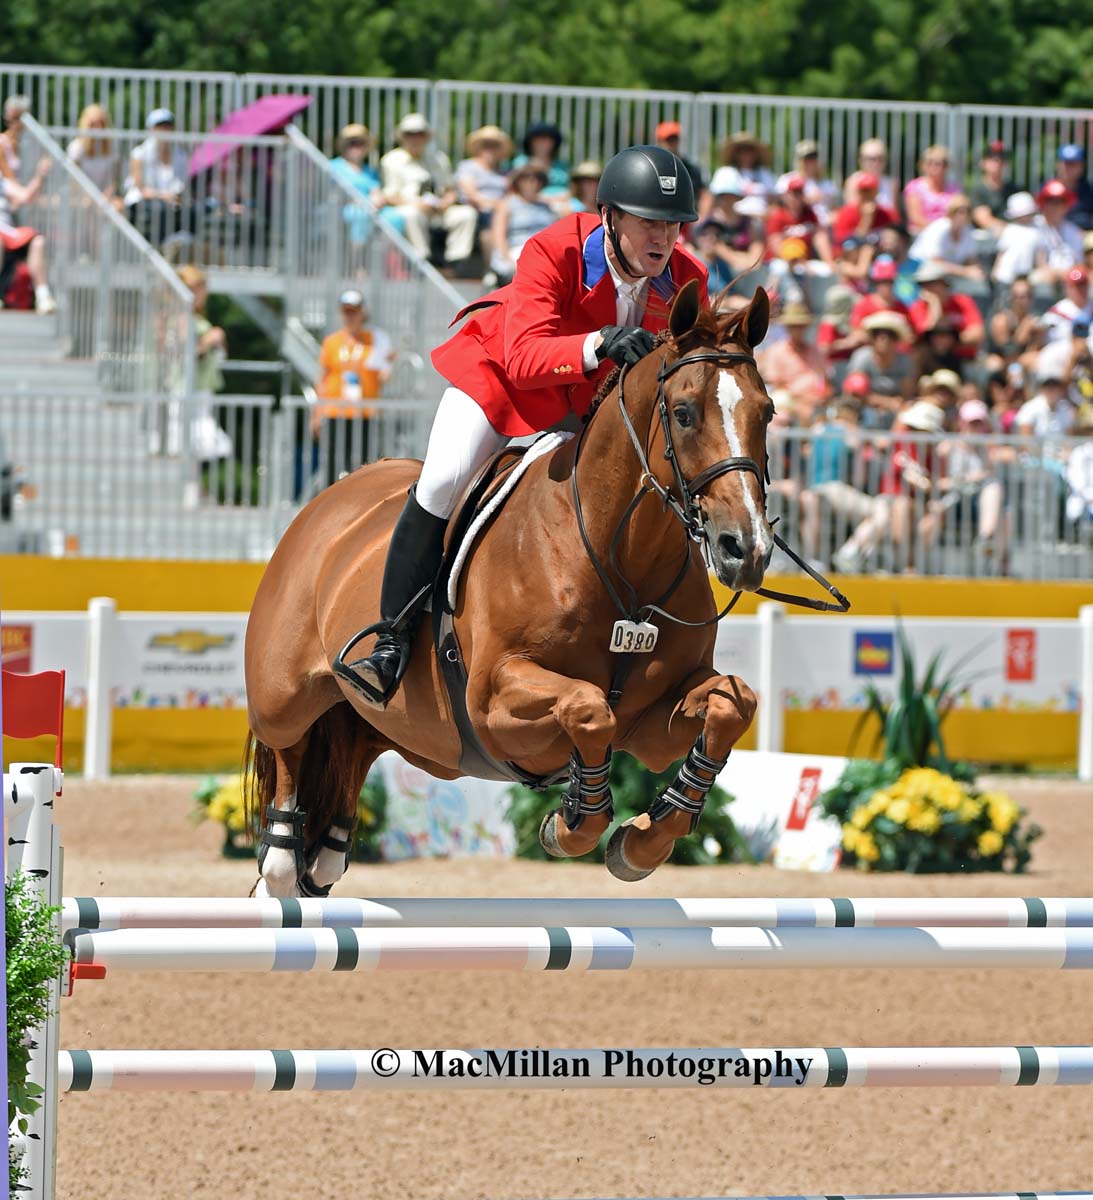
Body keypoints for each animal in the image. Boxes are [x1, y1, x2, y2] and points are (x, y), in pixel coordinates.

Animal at [247, 283, 777, 902]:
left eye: (766, 412)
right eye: (685, 414)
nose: (746, 549)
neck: (620, 557)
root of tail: (331, 499)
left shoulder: (652, 725)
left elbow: (731, 705)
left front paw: (638, 843)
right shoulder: (492, 700)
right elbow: (588, 707)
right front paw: (570, 828)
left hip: (386, 727)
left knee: (349, 758)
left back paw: (322, 859)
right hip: (284, 695)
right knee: (289, 754)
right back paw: (283, 859)